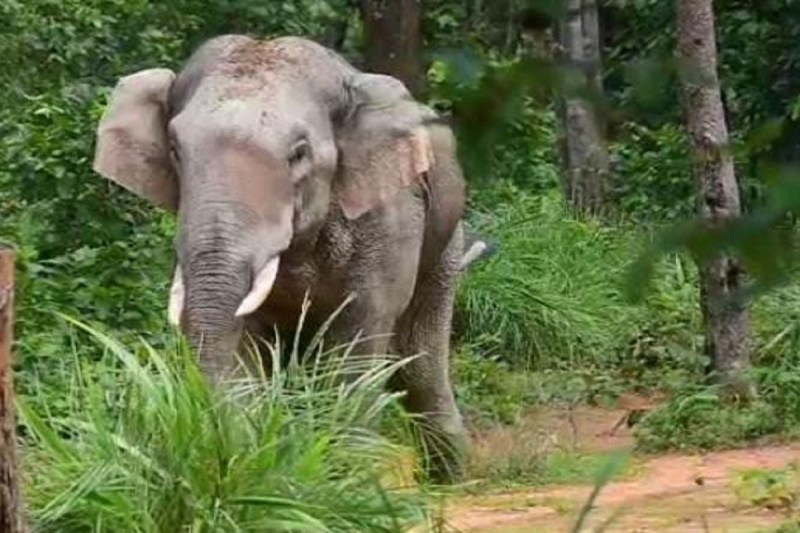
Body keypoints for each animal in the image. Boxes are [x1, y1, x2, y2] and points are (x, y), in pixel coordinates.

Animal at [92, 34, 480, 482]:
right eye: (174, 149)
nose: (211, 457)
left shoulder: (391, 214)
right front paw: (245, 451)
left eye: (299, 153)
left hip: (446, 244)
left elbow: (362, 323)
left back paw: (450, 480)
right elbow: (244, 335)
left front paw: (347, 475)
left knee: (417, 362)